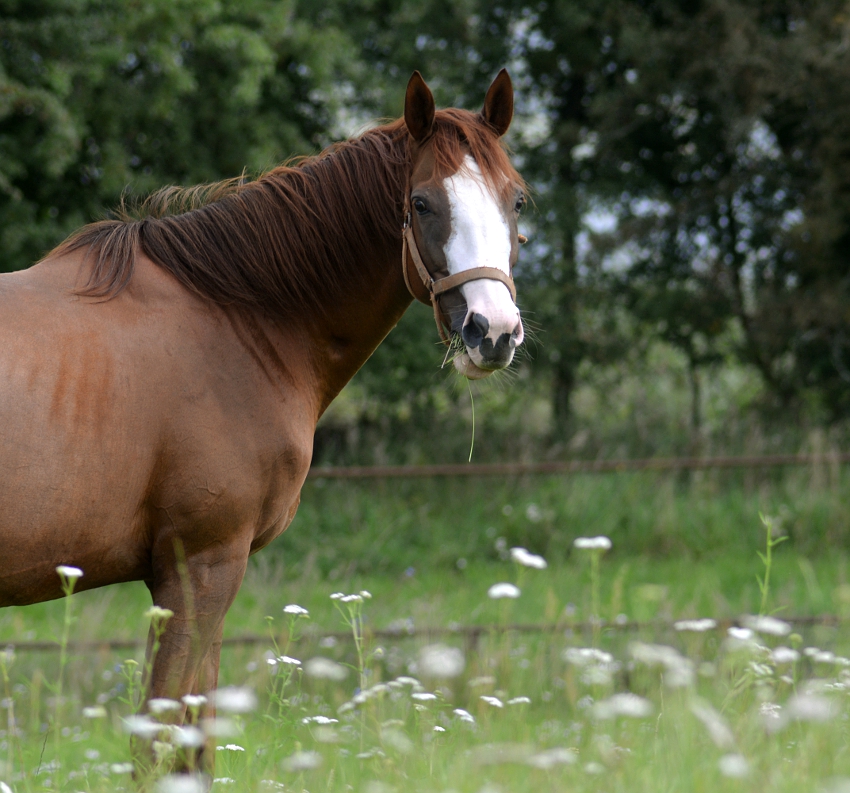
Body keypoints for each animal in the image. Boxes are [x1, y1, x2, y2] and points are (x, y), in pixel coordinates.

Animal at [0, 71, 528, 772]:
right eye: (421, 203)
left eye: (516, 200)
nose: (491, 331)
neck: (236, 320)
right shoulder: (201, 567)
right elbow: (157, 747)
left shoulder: (202, 579)